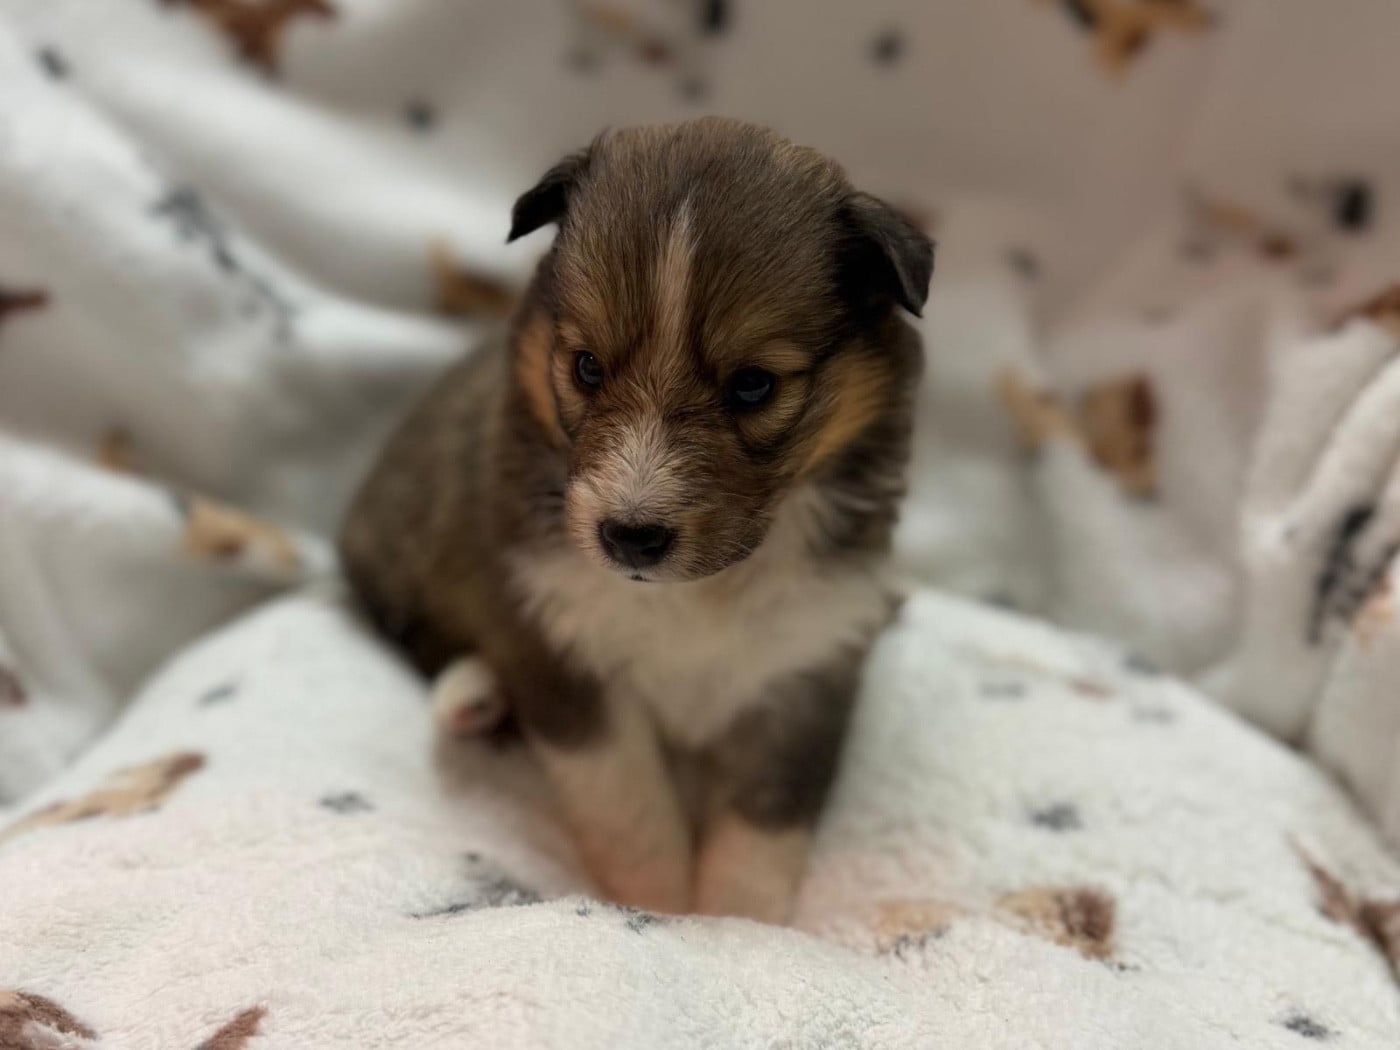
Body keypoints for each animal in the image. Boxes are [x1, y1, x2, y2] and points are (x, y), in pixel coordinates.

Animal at [339, 117, 933, 924]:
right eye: (587, 366)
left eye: (754, 385)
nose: (630, 538)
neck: (703, 588)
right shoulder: (557, 635)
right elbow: (627, 800)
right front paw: (657, 908)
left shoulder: (805, 658)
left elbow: (765, 819)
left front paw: (738, 921)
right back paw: (473, 695)